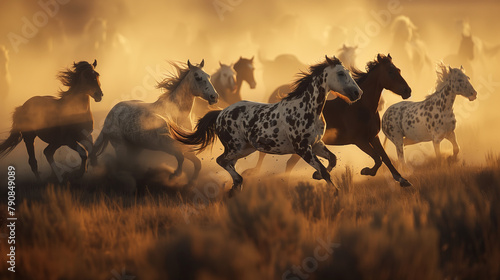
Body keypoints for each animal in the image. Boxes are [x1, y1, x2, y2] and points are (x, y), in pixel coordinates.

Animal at [90, 60, 219, 185]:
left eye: (208, 76)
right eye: (198, 77)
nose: (214, 96)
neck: (174, 116)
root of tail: (111, 113)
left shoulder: (185, 148)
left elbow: (197, 164)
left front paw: (191, 183)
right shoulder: (166, 145)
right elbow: (180, 158)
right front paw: (174, 175)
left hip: (135, 147)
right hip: (120, 145)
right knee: (121, 164)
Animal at [170, 55, 362, 194]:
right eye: (341, 74)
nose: (357, 93)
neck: (307, 108)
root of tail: (220, 113)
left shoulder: (316, 144)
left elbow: (332, 160)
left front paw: (315, 176)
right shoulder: (303, 149)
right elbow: (324, 171)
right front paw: (336, 192)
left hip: (244, 149)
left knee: (228, 164)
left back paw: (235, 188)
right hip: (236, 148)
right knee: (221, 161)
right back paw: (238, 182)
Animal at [252, 53, 412, 187]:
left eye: (398, 70)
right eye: (390, 72)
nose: (408, 91)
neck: (362, 107)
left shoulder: (373, 137)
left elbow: (385, 158)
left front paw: (402, 180)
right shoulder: (360, 141)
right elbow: (378, 159)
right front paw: (366, 171)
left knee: (289, 163)